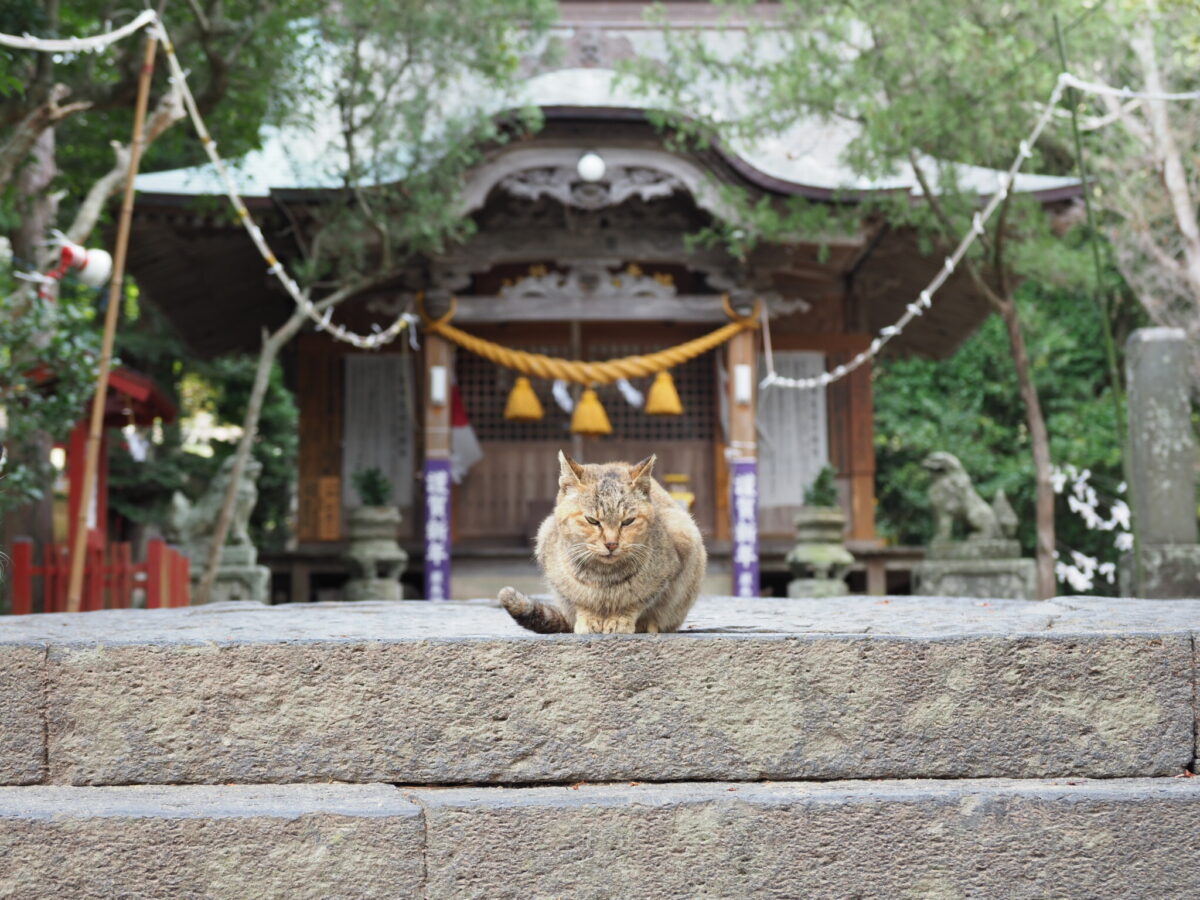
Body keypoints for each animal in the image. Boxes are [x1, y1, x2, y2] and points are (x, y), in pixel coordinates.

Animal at [501, 451, 705, 633]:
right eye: (592, 520)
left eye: (628, 521)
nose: (612, 544)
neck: (604, 577)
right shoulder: (559, 577)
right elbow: (580, 600)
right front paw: (589, 619)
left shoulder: (669, 568)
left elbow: (635, 601)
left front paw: (621, 619)